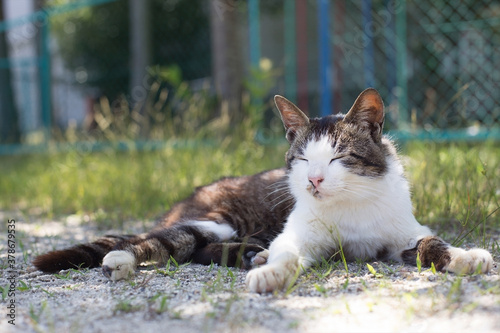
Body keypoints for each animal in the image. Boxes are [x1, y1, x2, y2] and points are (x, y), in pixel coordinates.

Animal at [33, 87, 494, 292]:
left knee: (197, 250)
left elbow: (431, 242)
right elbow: (289, 251)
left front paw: (465, 257)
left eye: (338, 158)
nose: (313, 180)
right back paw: (121, 260)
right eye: (303, 158)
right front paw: (273, 272)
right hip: (213, 219)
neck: (351, 204)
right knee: (165, 242)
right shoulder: (299, 233)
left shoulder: (402, 234)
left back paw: (251, 254)